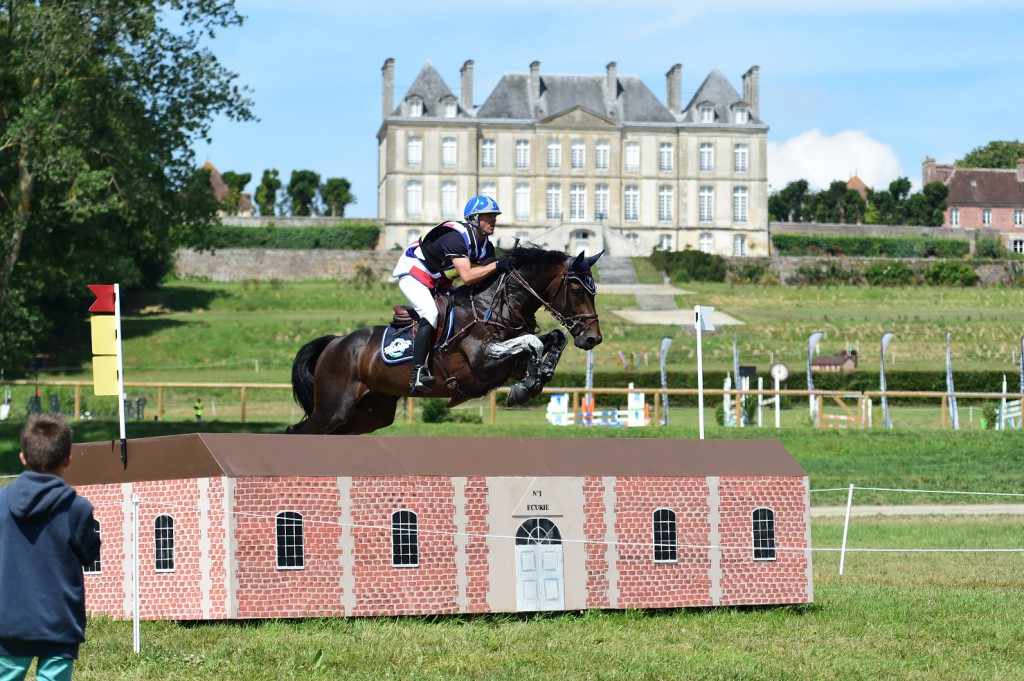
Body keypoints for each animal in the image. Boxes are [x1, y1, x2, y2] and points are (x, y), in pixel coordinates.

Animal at [284, 246, 602, 432]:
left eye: (594, 290)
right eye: (576, 290)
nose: (592, 339)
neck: (495, 305)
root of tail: (335, 343)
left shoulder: (511, 363)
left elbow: (552, 339)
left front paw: (538, 377)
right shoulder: (482, 363)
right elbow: (532, 342)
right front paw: (526, 387)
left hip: (370, 413)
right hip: (332, 410)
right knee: (298, 431)